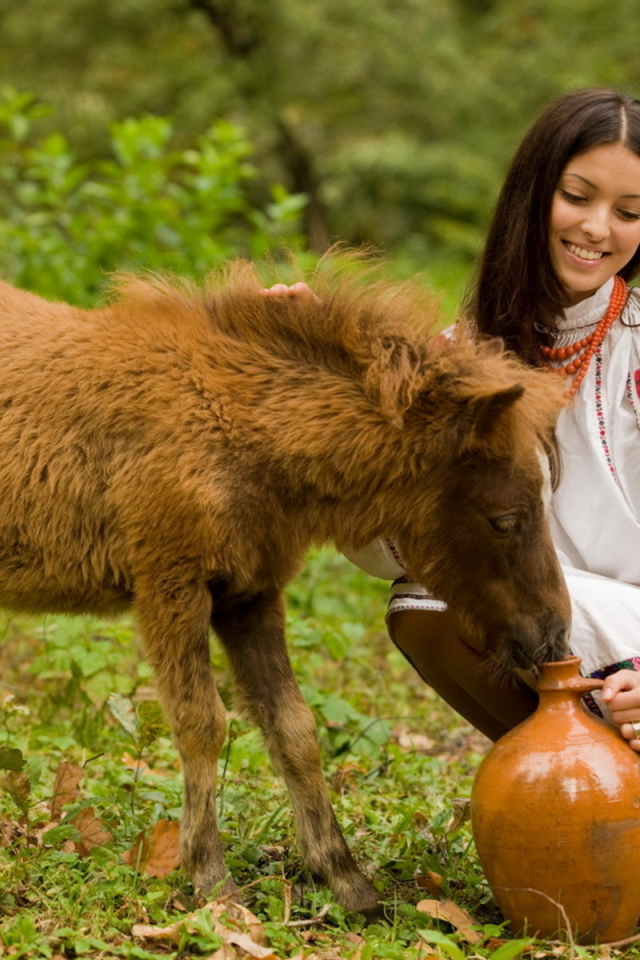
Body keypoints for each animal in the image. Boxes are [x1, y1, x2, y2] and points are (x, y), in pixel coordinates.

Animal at [0, 262, 568, 916]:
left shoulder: (250, 594)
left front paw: (345, 880)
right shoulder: (170, 584)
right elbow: (203, 724)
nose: (553, 636)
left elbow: (294, 728)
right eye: (505, 519)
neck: (238, 431)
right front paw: (211, 879)